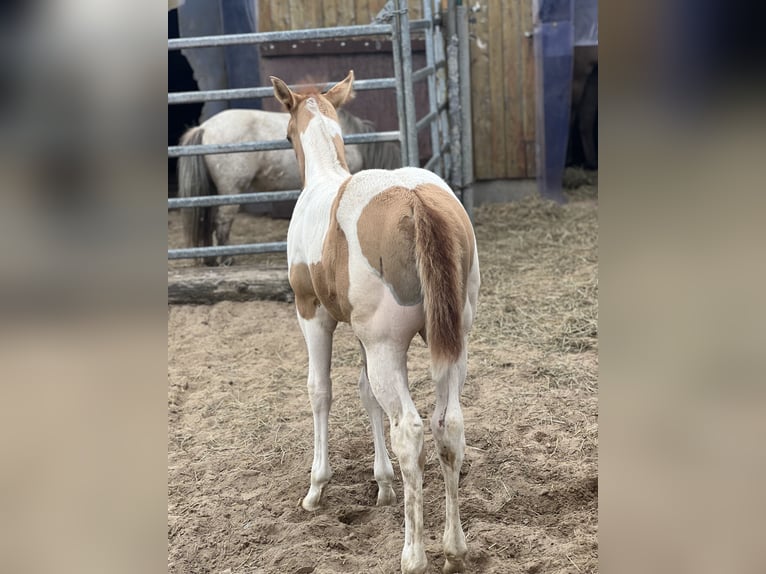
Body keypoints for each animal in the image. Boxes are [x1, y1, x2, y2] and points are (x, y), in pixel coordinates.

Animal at [270, 71, 480, 574]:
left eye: (285, 134)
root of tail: (415, 201)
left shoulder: (313, 314)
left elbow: (320, 390)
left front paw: (316, 488)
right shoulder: (362, 335)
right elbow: (365, 394)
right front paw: (382, 484)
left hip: (389, 346)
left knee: (411, 430)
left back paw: (414, 555)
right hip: (453, 343)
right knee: (449, 425)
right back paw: (454, 549)